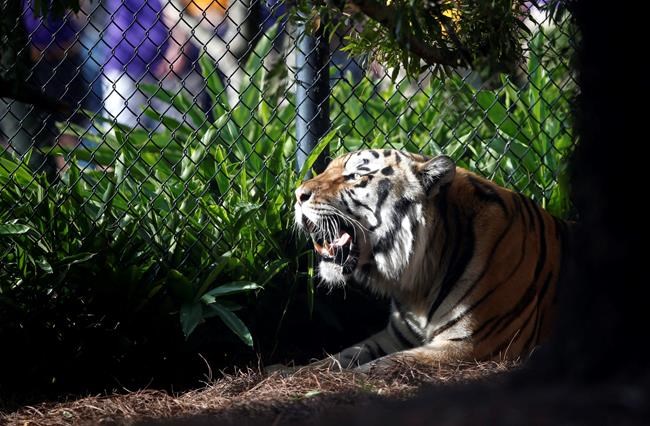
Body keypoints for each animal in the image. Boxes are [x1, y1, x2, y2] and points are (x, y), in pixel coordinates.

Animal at [294, 149, 571, 372]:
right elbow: (340, 356)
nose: (297, 195)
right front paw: (293, 372)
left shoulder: (471, 345)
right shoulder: (392, 337)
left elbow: (383, 364)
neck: (417, 285)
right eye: (326, 169)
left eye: (354, 176)